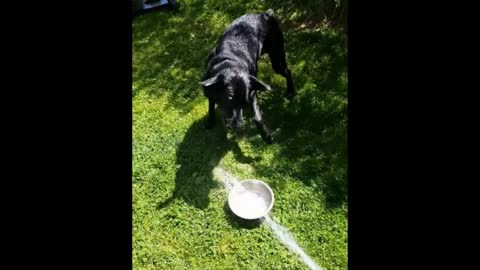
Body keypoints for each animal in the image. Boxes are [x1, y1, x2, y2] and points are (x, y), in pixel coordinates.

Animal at [198, 8, 292, 143]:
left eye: (244, 102)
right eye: (229, 99)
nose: (239, 125)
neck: (229, 64)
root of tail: (265, 14)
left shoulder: (251, 92)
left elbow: (257, 117)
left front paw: (266, 135)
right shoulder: (209, 88)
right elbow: (211, 104)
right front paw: (210, 121)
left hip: (276, 57)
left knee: (287, 71)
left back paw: (290, 91)